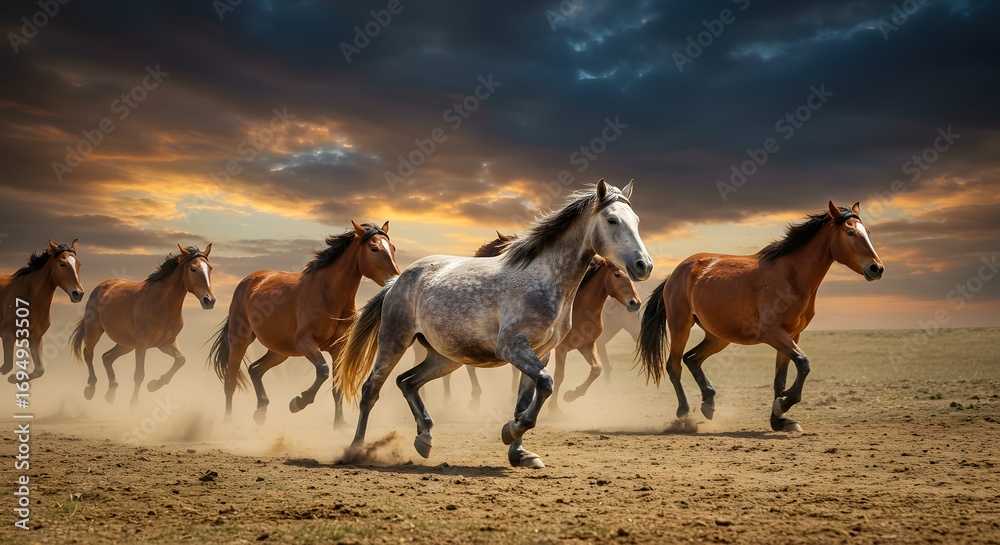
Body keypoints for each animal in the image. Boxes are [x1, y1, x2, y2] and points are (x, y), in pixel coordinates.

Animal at [0, 240, 84, 382]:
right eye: (62, 263)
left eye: (79, 264)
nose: (78, 294)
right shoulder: (7, 336)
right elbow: (6, 366)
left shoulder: (35, 338)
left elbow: (39, 370)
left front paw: (14, 378)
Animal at [71, 245, 216, 405]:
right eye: (193, 268)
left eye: (210, 268)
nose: (209, 300)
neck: (163, 304)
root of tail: (101, 287)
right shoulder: (142, 343)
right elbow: (139, 374)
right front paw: (134, 403)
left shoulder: (166, 342)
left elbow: (180, 360)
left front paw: (153, 385)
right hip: (94, 330)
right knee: (89, 354)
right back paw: (90, 389)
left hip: (126, 344)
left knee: (107, 357)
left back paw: (111, 393)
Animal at [209, 221, 399, 427]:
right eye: (374, 248)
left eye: (393, 248)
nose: (396, 279)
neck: (329, 294)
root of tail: (249, 281)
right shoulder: (305, 342)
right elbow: (322, 371)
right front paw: (298, 402)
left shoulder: (338, 348)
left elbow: (337, 386)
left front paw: (340, 424)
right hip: (240, 341)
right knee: (230, 381)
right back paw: (228, 422)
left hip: (280, 351)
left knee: (255, 370)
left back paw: (260, 412)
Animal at [334, 180, 651, 468]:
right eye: (612, 220)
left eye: (636, 221)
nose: (643, 266)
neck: (545, 278)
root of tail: (397, 280)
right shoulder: (512, 347)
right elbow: (546, 383)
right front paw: (510, 431)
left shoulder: (541, 352)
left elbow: (528, 397)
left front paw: (520, 453)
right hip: (394, 341)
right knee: (371, 390)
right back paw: (356, 449)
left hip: (445, 357)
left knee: (406, 381)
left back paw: (424, 438)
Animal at [636, 202, 884, 432]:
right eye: (850, 233)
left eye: (868, 232)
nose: (877, 268)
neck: (791, 276)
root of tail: (676, 273)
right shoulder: (772, 333)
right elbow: (804, 363)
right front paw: (783, 405)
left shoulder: (792, 335)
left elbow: (781, 378)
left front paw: (780, 419)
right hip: (681, 326)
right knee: (674, 366)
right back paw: (685, 414)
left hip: (718, 336)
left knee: (692, 359)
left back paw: (709, 402)